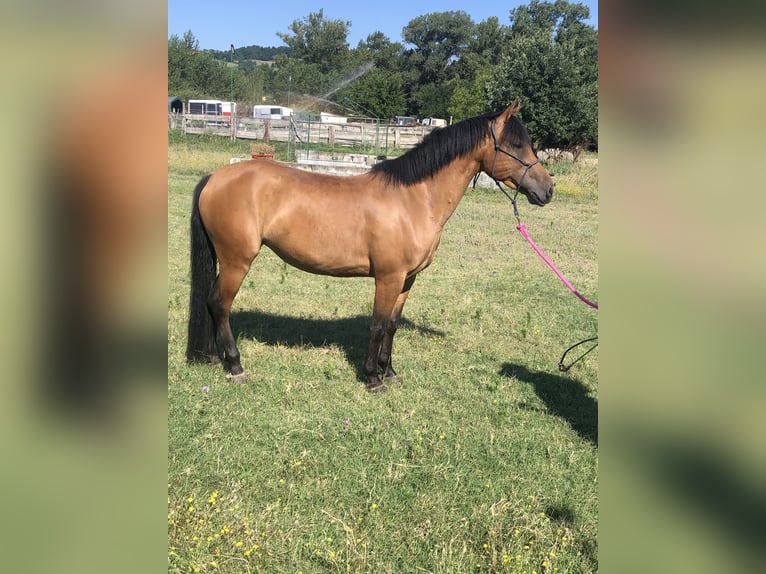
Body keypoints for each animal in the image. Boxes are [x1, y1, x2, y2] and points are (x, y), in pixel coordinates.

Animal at [189, 102, 556, 392]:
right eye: (516, 144)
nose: (548, 189)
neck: (413, 199)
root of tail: (214, 178)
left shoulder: (407, 279)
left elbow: (392, 325)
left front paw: (390, 372)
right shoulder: (388, 277)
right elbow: (378, 324)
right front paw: (372, 378)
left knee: (210, 303)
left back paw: (212, 357)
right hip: (238, 260)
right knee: (219, 304)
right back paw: (235, 365)